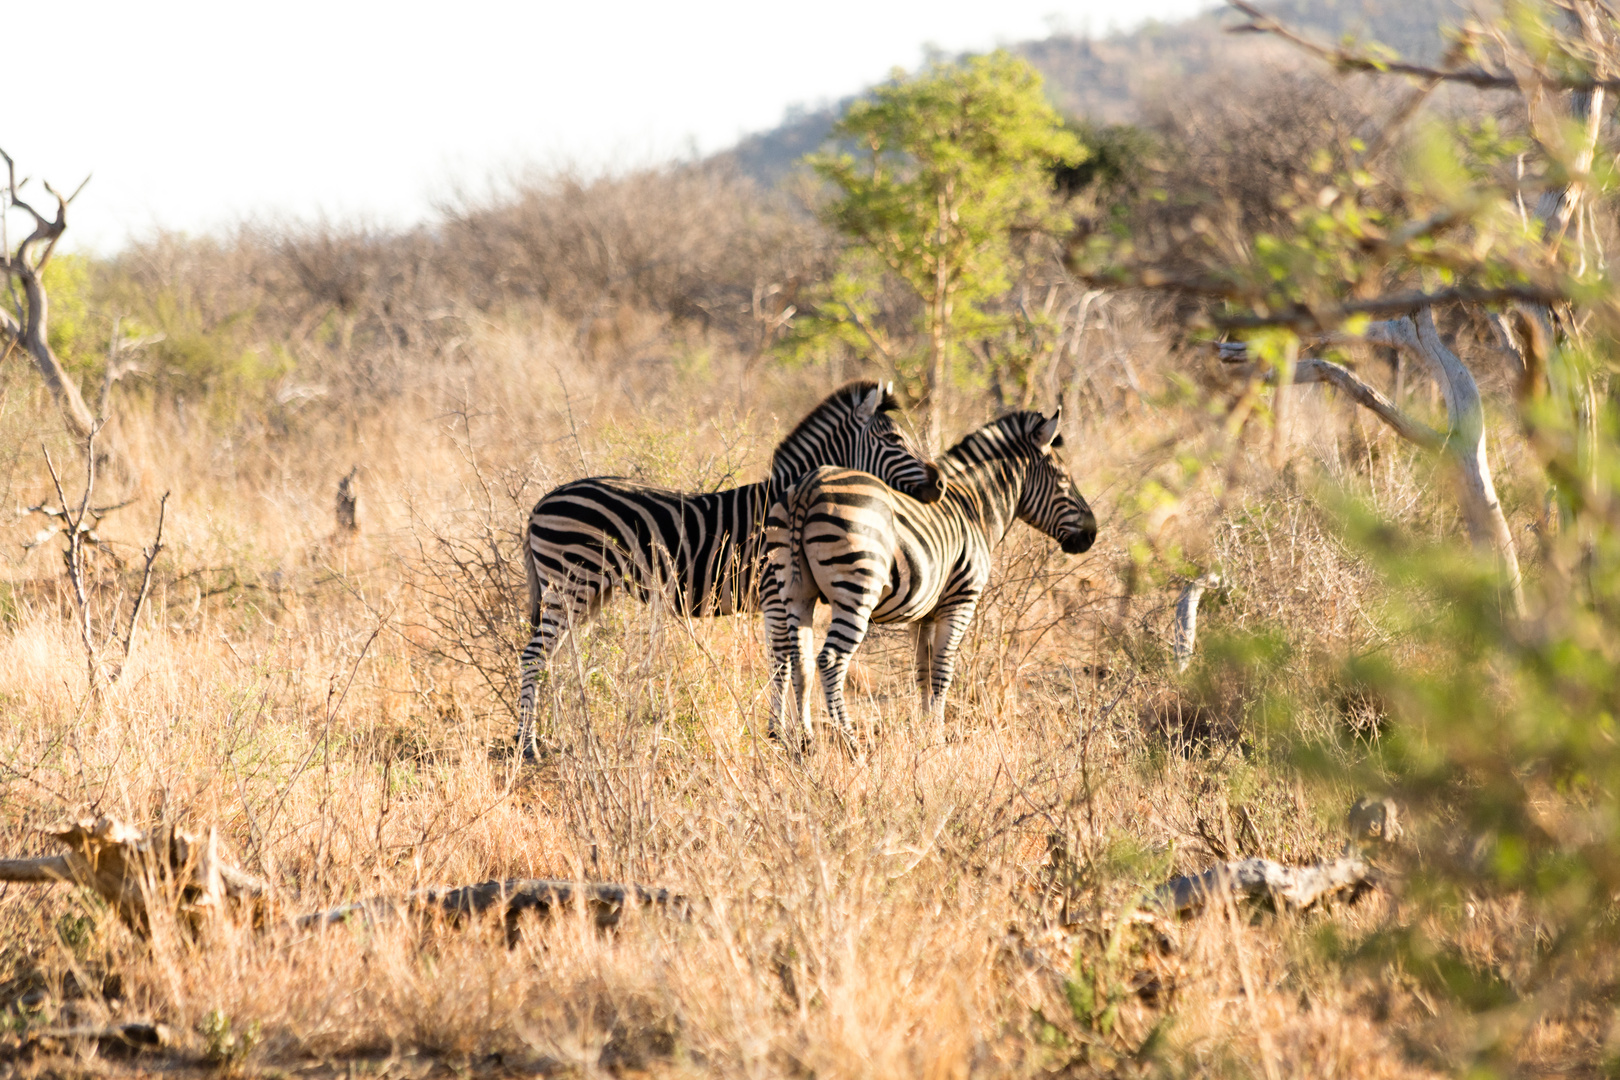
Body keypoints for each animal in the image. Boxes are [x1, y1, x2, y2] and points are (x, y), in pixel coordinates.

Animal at [518, 383, 946, 757]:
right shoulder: (774, 593)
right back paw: (528, 746)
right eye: (894, 439)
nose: (939, 484)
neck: (783, 496)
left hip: (587, 592)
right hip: (570, 583)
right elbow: (783, 660)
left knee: (558, 660)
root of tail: (541, 503)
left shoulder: (788, 597)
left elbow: (796, 661)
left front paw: (793, 735)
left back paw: (558, 736)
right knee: (535, 656)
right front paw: (780, 735)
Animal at [761, 408, 1095, 751]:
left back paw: (805, 742)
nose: (1091, 534)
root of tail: (807, 485)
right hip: (856, 592)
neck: (974, 510)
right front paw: (937, 735)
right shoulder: (961, 601)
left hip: (795, 590)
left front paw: (923, 731)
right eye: (1064, 480)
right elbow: (943, 670)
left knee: (797, 659)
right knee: (830, 661)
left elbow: (923, 670)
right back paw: (851, 741)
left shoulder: (922, 615)